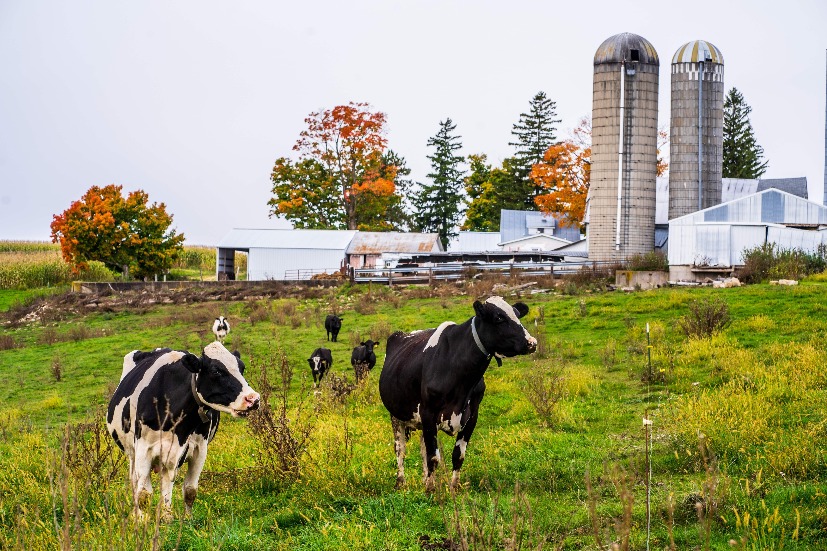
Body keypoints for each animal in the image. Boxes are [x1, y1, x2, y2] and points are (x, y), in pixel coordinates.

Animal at [106, 342, 258, 520]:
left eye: (242, 367)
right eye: (216, 371)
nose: (253, 399)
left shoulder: (198, 449)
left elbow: (189, 489)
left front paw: (180, 519)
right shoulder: (144, 449)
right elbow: (143, 494)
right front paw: (142, 522)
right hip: (132, 452)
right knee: (135, 482)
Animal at [376, 298, 536, 492]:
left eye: (517, 314)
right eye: (499, 318)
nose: (532, 342)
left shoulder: (472, 415)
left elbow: (457, 455)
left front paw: (453, 488)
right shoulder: (428, 413)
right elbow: (433, 457)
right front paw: (430, 491)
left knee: (422, 448)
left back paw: (424, 479)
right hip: (396, 415)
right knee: (400, 448)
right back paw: (400, 482)